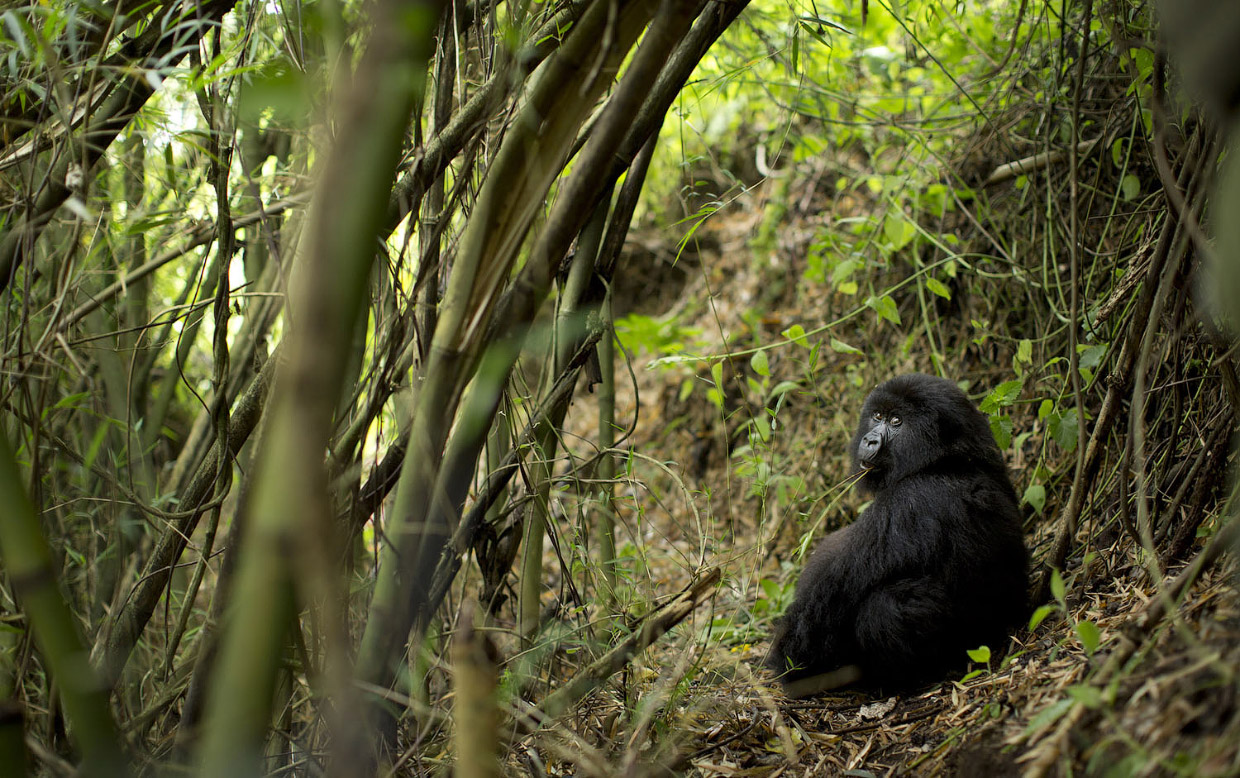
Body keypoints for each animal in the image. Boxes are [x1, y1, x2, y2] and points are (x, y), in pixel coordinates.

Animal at [763, 374, 1026, 694]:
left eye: (897, 421)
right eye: (877, 416)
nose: (870, 439)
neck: (947, 459)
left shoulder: (905, 503)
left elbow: (819, 611)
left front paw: (789, 666)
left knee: (887, 605)